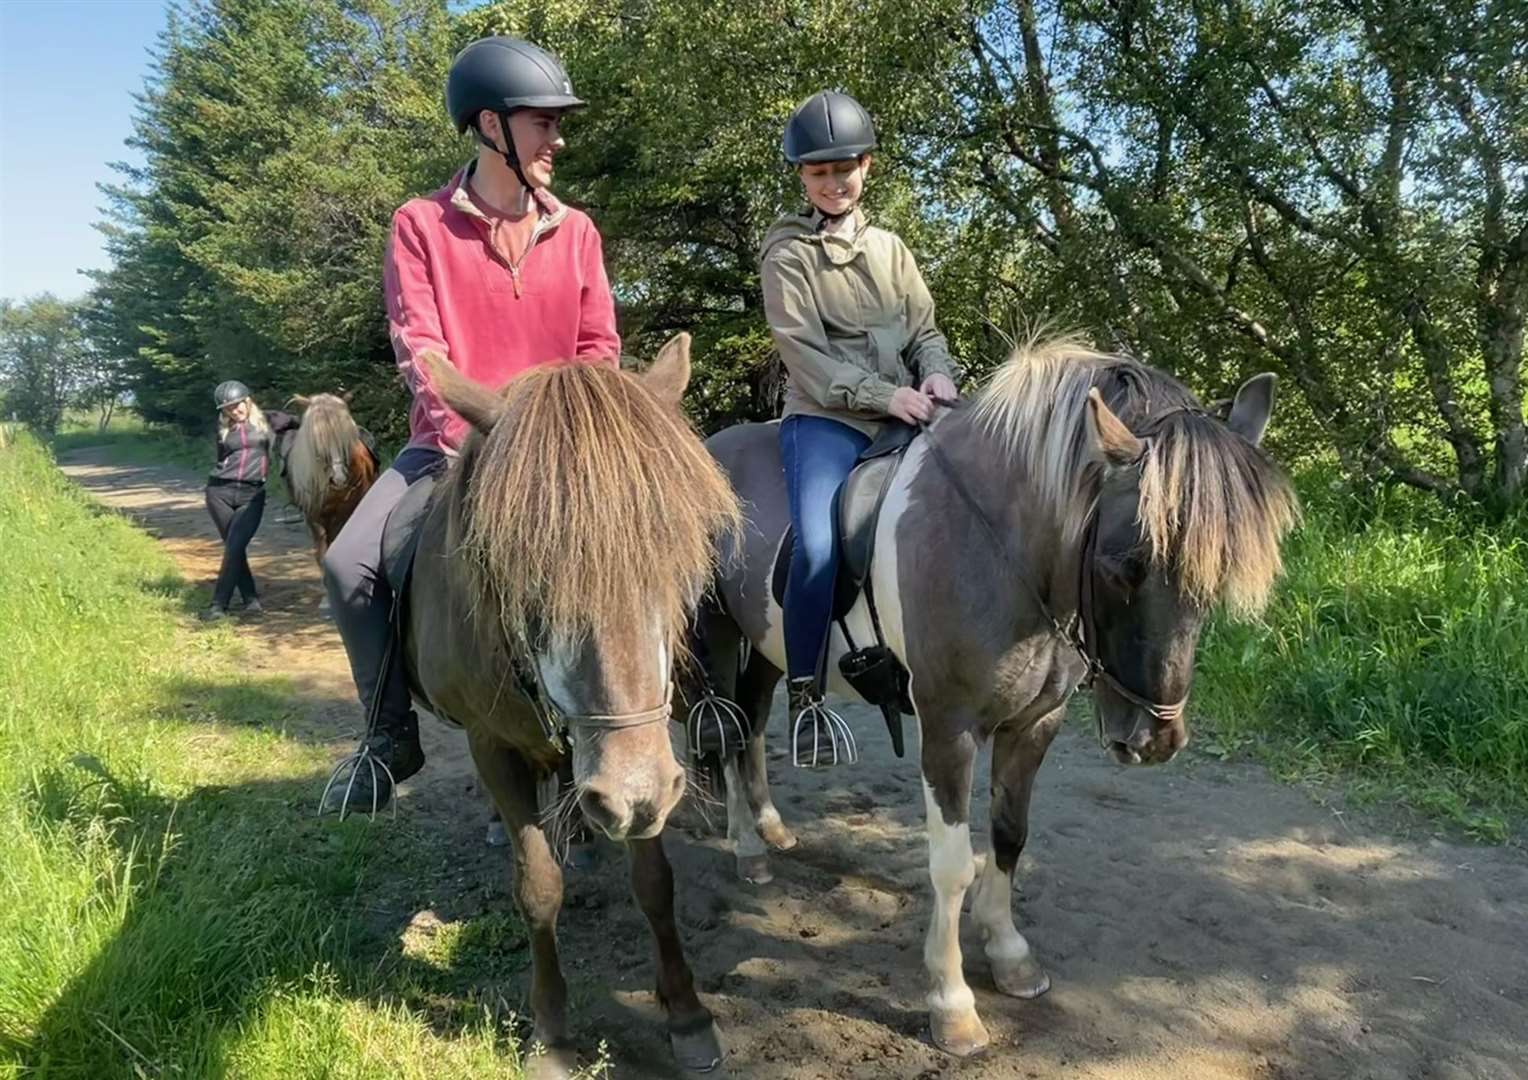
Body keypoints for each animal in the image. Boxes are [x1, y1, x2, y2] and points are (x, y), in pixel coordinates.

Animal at [406, 333, 739, 1075]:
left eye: (678, 567)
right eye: (522, 576)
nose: (630, 795)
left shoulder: (646, 767)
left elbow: (655, 882)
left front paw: (687, 1013)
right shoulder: (492, 745)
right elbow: (537, 886)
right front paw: (552, 1033)